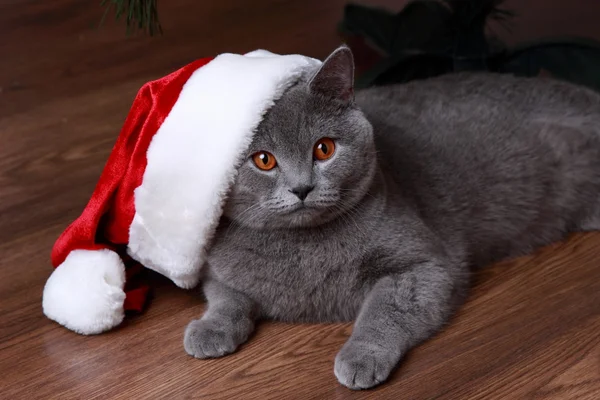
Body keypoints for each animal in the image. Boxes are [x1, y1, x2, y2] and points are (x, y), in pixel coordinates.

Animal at [182, 45, 600, 390]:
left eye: (324, 149)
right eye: (264, 160)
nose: (302, 188)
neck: (302, 249)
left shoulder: (427, 264)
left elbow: (385, 310)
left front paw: (361, 357)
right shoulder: (218, 268)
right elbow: (226, 297)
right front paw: (210, 330)